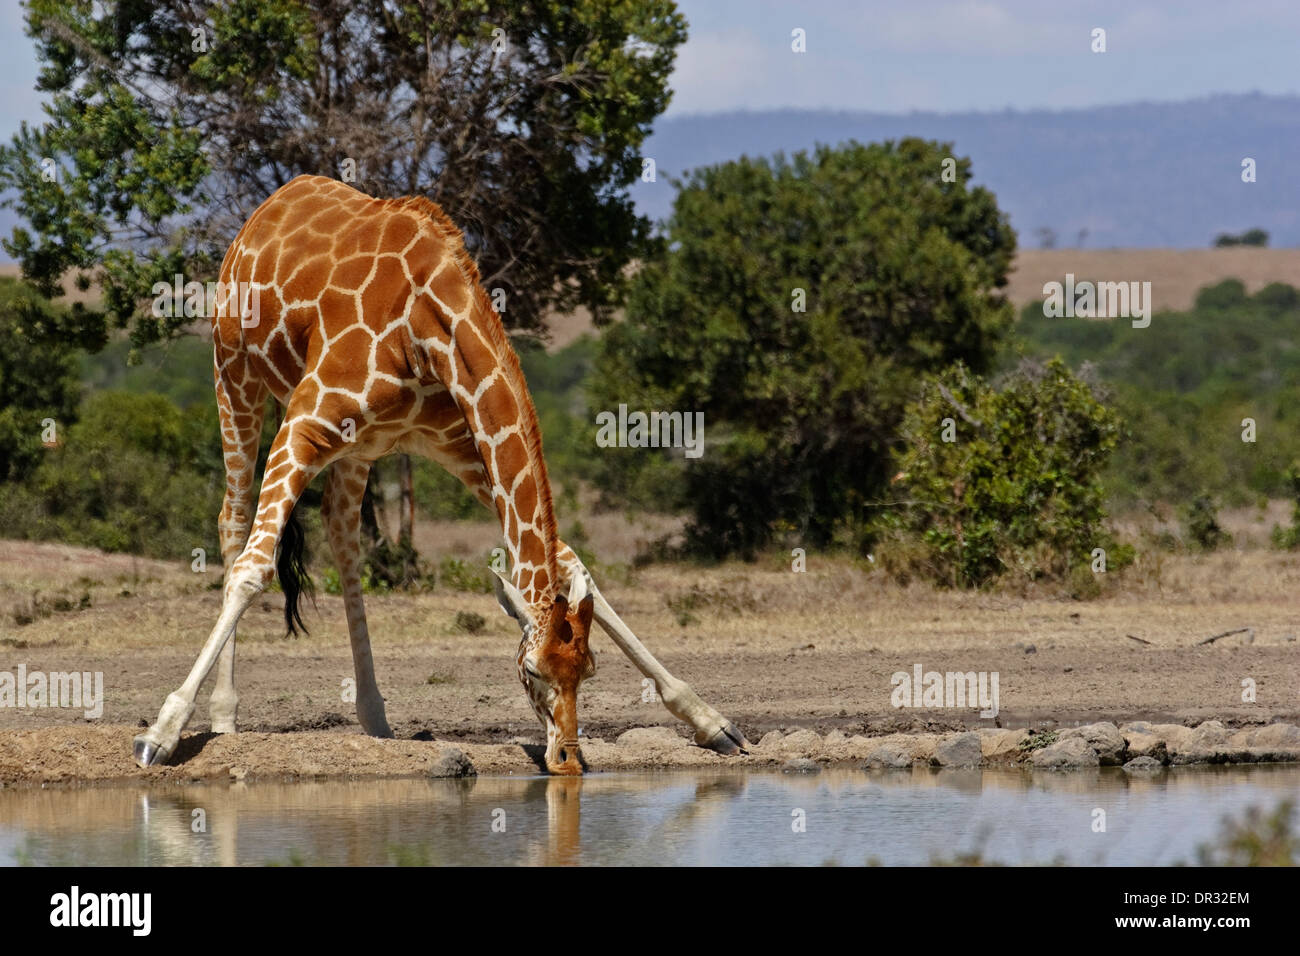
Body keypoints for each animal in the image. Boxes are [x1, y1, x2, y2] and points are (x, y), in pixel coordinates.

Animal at [133, 175, 750, 775]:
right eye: (532, 671)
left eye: (588, 670)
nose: (569, 761)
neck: (426, 325)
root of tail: (268, 208)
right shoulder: (305, 421)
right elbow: (252, 570)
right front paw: (160, 733)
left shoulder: (463, 445)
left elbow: (575, 562)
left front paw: (713, 722)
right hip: (233, 374)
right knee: (234, 524)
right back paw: (224, 718)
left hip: (359, 446)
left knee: (342, 533)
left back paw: (375, 718)